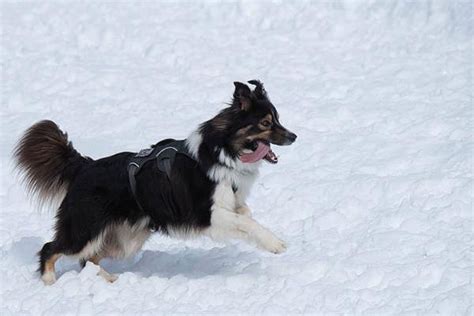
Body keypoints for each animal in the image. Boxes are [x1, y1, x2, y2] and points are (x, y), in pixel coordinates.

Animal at [14, 80, 296, 286]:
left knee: (89, 259)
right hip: (85, 229)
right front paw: (276, 244)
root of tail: (84, 166)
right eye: (266, 123)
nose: (294, 136)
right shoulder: (207, 214)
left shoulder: (231, 204)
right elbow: (247, 222)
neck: (222, 151)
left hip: (124, 240)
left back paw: (108, 279)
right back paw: (50, 281)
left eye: (278, 118)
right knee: (51, 248)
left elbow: (246, 215)